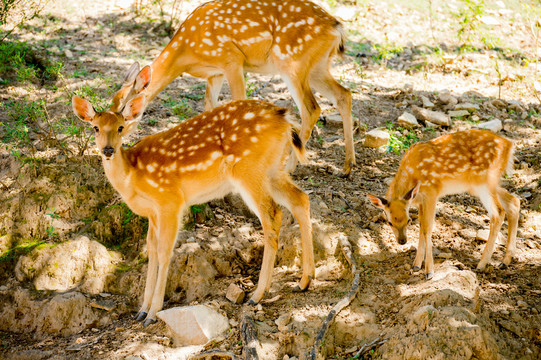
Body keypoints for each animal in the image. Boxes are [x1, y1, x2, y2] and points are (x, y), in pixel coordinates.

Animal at [74, 95, 314, 326]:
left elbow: (164, 252)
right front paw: (141, 311)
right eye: (95, 127)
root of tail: (284, 118)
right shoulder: (152, 213)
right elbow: (151, 251)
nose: (108, 150)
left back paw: (257, 294)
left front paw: (152, 313)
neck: (132, 176)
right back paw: (304, 281)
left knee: (273, 215)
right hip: (273, 169)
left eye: (121, 127)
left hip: (249, 169)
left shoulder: (169, 200)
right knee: (300, 199)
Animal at [109, 0, 354, 176]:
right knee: (343, 94)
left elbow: (237, 101)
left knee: (311, 108)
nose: (110, 146)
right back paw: (346, 167)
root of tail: (337, 28)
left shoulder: (231, 59)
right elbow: (209, 107)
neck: (186, 52)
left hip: (292, 61)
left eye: (126, 109)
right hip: (317, 66)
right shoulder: (214, 73)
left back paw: (290, 167)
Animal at [368, 129, 520, 278]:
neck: (412, 174)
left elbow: (427, 228)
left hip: (484, 180)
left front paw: (429, 271)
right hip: (482, 184)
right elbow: (421, 226)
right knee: (513, 201)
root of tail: (509, 145)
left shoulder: (431, 192)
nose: (402, 241)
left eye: (408, 220)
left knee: (498, 212)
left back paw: (481, 264)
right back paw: (505, 261)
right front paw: (416, 264)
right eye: (389, 222)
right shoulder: (420, 200)